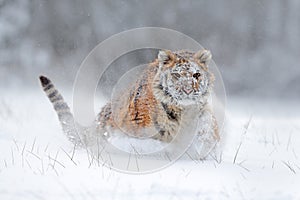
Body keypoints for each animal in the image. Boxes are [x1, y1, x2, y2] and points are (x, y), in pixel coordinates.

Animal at [38, 49, 219, 159]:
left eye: (196, 75)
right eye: (176, 75)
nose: (188, 90)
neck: (183, 111)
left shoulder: (202, 112)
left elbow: (207, 126)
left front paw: (204, 145)